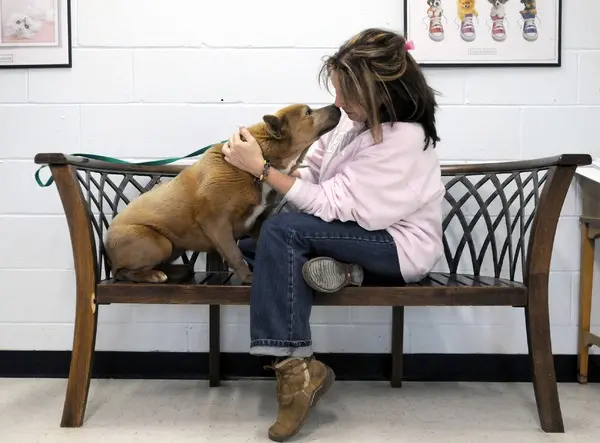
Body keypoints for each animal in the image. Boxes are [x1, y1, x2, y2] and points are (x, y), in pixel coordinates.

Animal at [105, 104, 340, 284]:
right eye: (308, 112)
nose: (336, 106)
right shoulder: (216, 222)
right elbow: (235, 253)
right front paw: (248, 277)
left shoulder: (259, 223)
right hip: (159, 243)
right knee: (121, 272)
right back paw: (153, 275)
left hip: (173, 246)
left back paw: (174, 271)